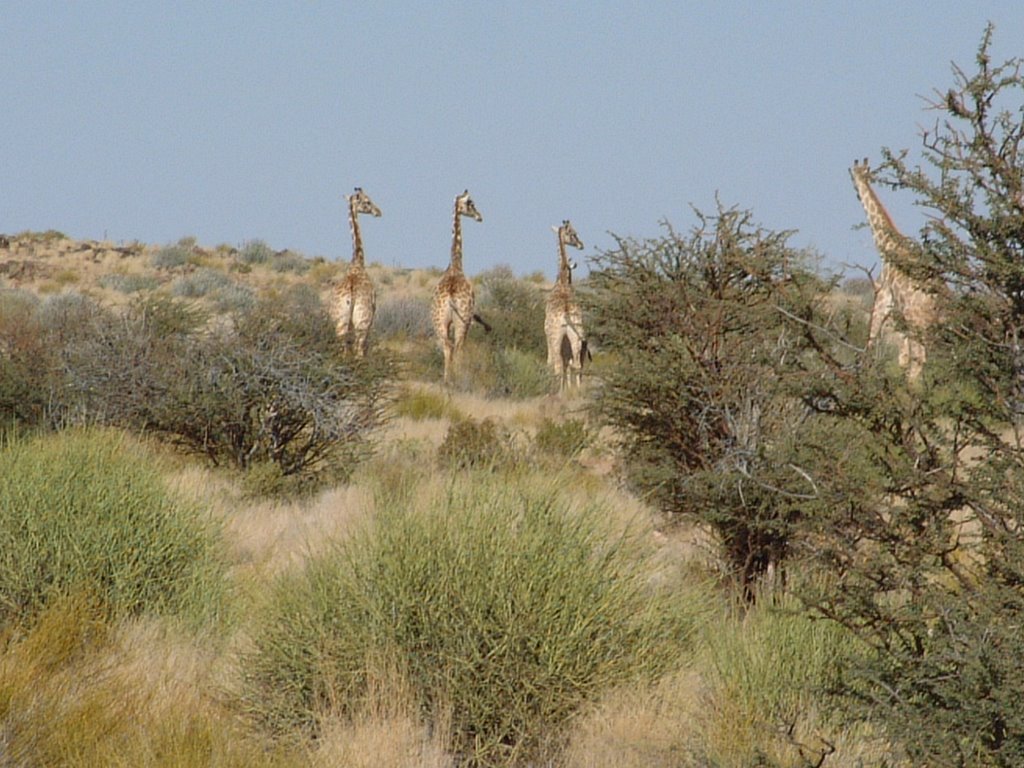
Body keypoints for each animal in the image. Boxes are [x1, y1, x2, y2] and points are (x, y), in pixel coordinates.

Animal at [333, 188, 382, 356]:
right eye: (367, 201)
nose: (378, 212)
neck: (357, 262)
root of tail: (352, 294)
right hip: (362, 323)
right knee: (358, 352)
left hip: (340, 322)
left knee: (343, 350)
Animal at [428, 190, 483, 387]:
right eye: (471, 204)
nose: (479, 217)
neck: (456, 265)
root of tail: (451, 296)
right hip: (462, 321)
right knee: (457, 347)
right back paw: (458, 379)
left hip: (439, 322)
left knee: (447, 346)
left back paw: (446, 380)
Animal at [847, 159, 937, 382]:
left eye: (853, 177)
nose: (856, 192)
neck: (887, 246)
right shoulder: (899, 311)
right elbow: (902, 358)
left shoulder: (883, 295)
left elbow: (870, 340)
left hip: (917, 321)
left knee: (919, 359)